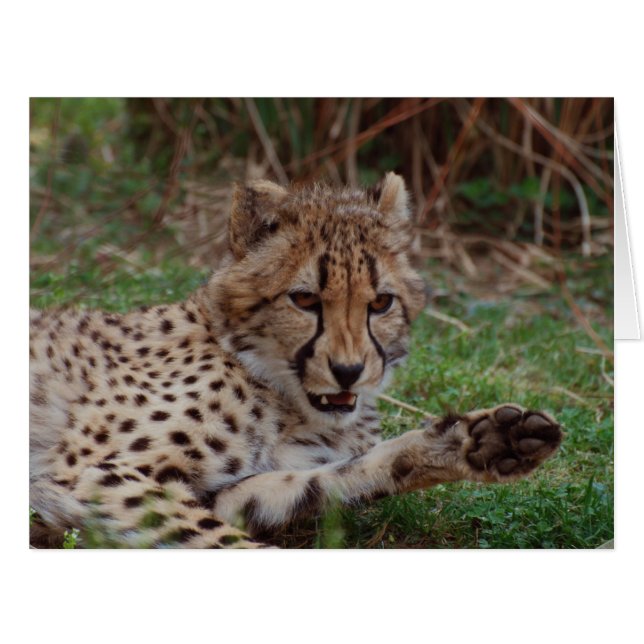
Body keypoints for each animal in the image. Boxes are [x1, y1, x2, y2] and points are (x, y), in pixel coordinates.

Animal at [29, 172, 562, 548]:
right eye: (304, 300)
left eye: (380, 303)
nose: (348, 371)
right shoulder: (88, 474)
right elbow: (230, 545)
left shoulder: (223, 493)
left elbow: (324, 480)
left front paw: (480, 440)